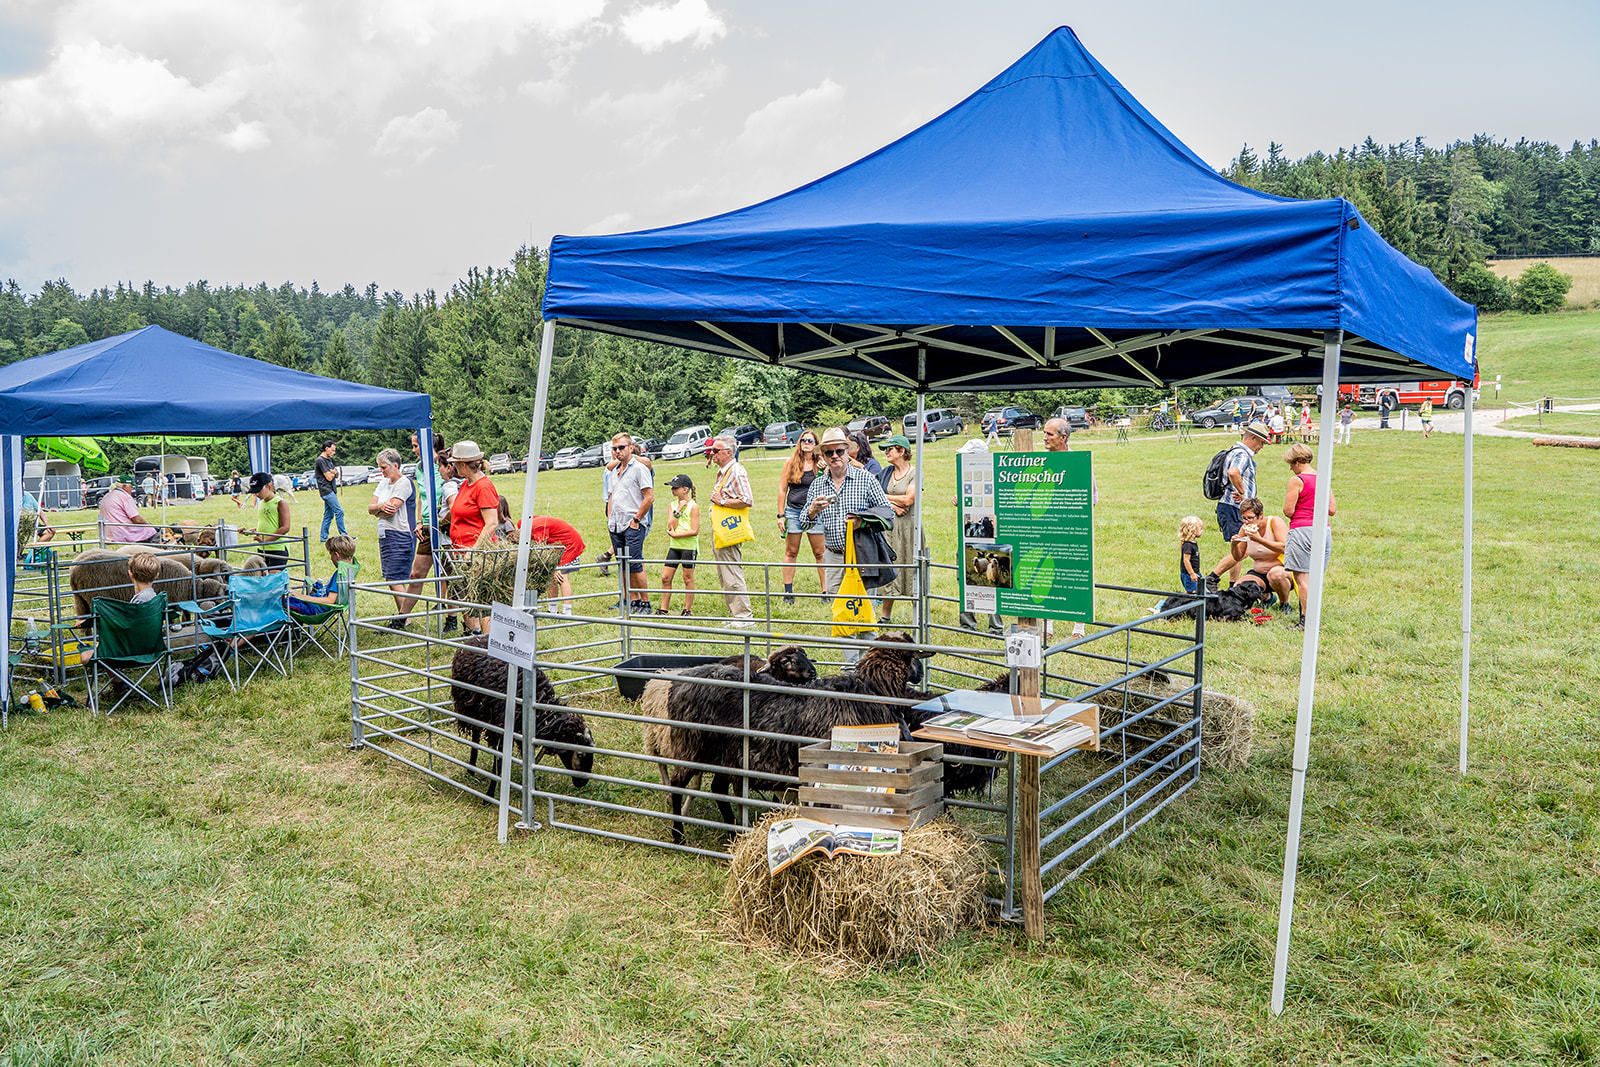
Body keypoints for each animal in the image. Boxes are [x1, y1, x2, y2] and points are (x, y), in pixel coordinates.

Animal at [451, 630, 595, 796]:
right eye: (580, 754)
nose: (582, 783)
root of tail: (476, 638)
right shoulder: (502, 727)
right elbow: (499, 760)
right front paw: (490, 793)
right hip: (471, 708)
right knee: (475, 735)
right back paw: (471, 769)